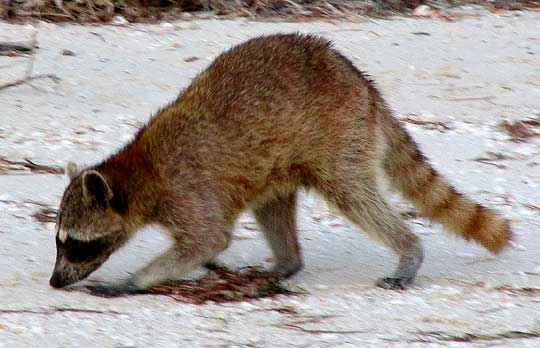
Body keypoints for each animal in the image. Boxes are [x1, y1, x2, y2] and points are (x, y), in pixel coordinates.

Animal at [49, 34, 510, 298]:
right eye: (59, 241)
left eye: (77, 244)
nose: (55, 281)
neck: (138, 171)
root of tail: (361, 81)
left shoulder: (186, 190)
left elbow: (208, 239)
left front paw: (134, 281)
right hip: (279, 162)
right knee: (272, 207)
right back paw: (287, 262)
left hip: (337, 136)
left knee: (356, 197)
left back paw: (407, 248)